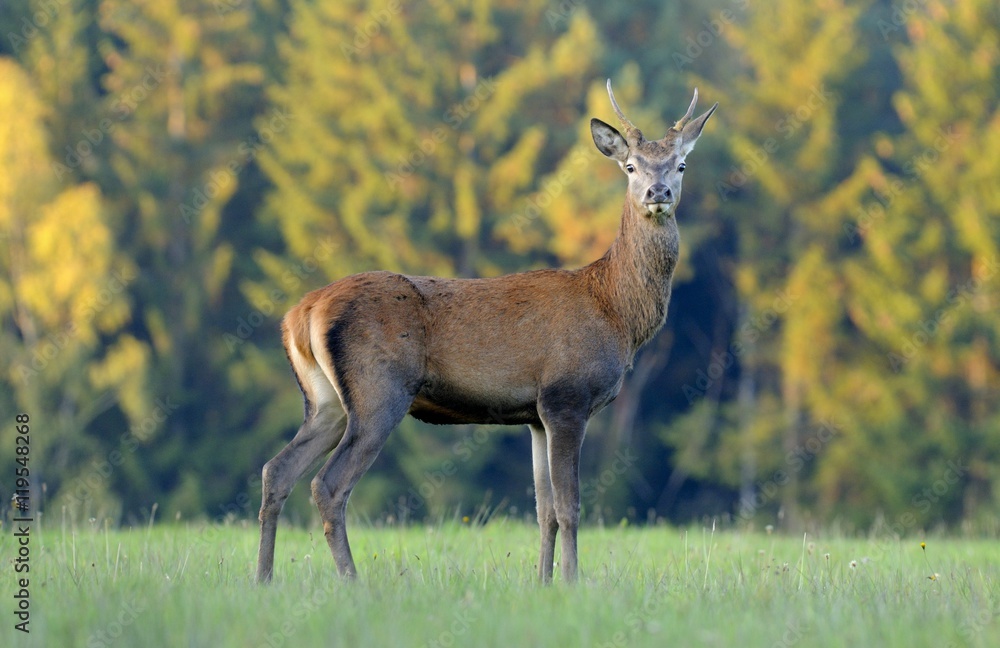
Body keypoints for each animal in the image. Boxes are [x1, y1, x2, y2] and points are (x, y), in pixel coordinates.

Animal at [256, 79, 717, 584]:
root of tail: (301, 313)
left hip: (325, 400)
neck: (616, 311)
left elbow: (544, 511)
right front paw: (572, 582)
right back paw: (351, 581)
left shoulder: (535, 415)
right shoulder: (567, 396)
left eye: (680, 164)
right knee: (328, 484)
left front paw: (543, 582)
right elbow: (570, 507)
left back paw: (263, 578)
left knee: (277, 470)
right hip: (378, 390)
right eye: (630, 166)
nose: (658, 191)